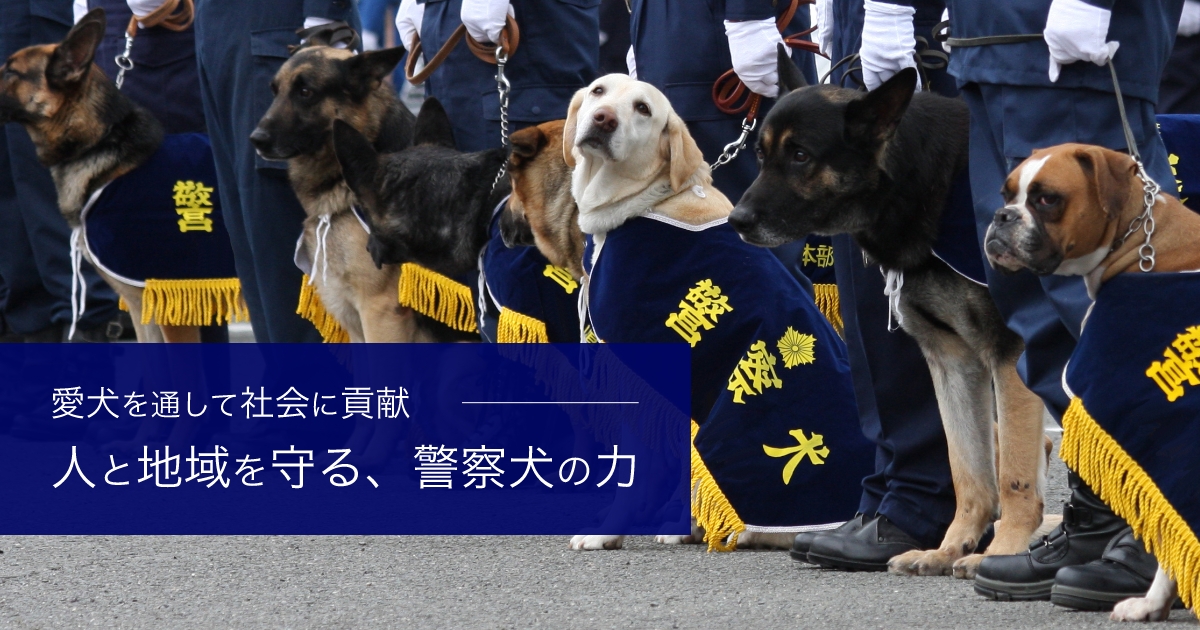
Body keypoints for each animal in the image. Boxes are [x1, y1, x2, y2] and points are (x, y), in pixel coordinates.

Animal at [720, 51, 1051, 578]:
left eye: (801, 155)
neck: (928, 181)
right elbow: (967, 470)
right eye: (761, 155)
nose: (736, 221)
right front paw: (950, 548)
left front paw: (1001, 553)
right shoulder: (953, 363)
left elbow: (1013, 472)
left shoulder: (1008, 353)